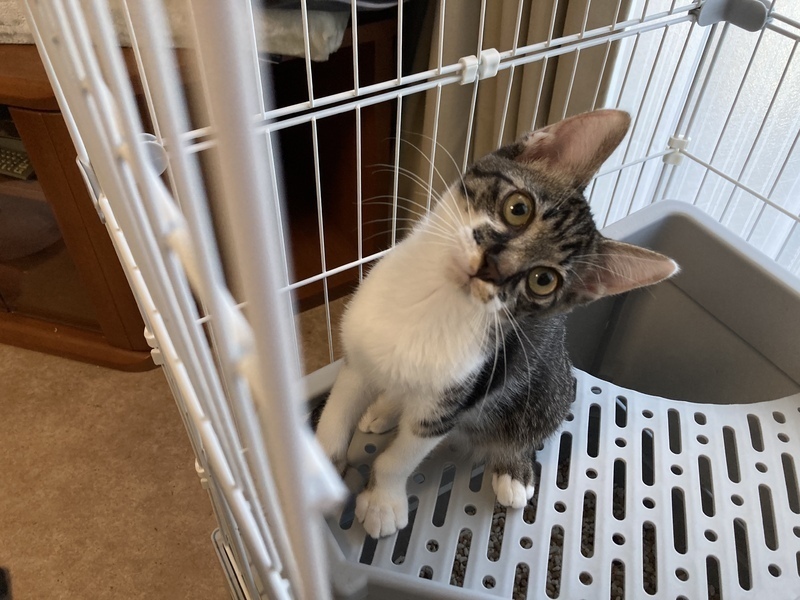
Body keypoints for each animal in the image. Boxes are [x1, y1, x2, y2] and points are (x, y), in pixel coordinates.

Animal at [314, 109, 678, 539]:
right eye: (518, 208)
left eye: (543, 280)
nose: (493, 266)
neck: (431, 301)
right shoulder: (356, 359)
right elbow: (335, 421)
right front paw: (322, 468)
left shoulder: (453, 401)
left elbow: (401, 456)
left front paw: (383, 501)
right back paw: (383, 408)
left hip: (545, 388)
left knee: (532, 427)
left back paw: (513, 471)